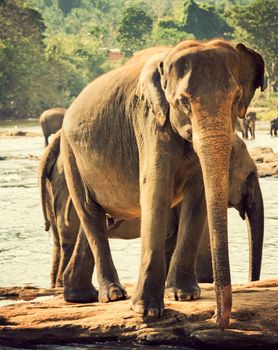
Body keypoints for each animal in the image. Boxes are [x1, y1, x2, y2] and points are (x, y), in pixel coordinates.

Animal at [59, 41, 264, 328]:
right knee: (89, 212)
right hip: (70, 154)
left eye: (236, 99)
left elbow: (197, 197)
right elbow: (156, 188)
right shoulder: (148, 121)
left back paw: (80, 296)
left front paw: (185, 295)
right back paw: (112, 295)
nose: (218, 319)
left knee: (95, 218)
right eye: (183, 102)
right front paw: (146, 311)